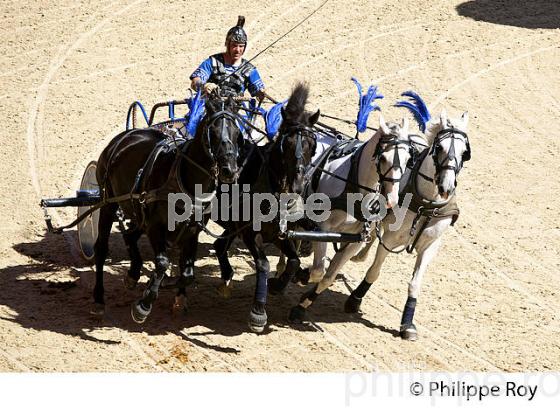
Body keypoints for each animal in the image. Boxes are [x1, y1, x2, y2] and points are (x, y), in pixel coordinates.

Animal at [91, 97, 242, 324]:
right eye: (213, 131)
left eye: (237, 132)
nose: (229, 171)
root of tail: (124, 136)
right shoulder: (156, 226)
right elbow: (162, 263)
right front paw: (144, 304)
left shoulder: (192, 230)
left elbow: (187, 272)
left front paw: (174, 296)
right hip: (108, 202)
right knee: (101, 248)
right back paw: (99, 300)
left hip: (138, 212)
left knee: (130, 236)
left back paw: (133, 275)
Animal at [210, 82, 318, 334]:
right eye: (287, 144)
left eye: (311, 145)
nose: (298, 184)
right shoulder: (250, 233)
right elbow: (263, 264)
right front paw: (258, 312)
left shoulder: (278, 234)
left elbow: (294, 260)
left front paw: (278, 284)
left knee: (219, 245)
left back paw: (226, 277)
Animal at [272, 113, 416, 322]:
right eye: (383, 158)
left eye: (408, 160)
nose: (392, 199)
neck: (355, 186)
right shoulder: (323, 229)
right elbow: (318, 271)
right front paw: (302, 275)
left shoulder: (357, 240)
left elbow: (328, 277)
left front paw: (302, 304)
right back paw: (282, 272)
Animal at [346, 105, 468, 340]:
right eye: (440, 147)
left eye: (464, 152)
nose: (447, 186)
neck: (427, 202)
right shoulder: (391, 240)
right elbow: (375, 271)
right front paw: (355, 299)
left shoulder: (430, 246)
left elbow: (415, 284)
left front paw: (407, 324)